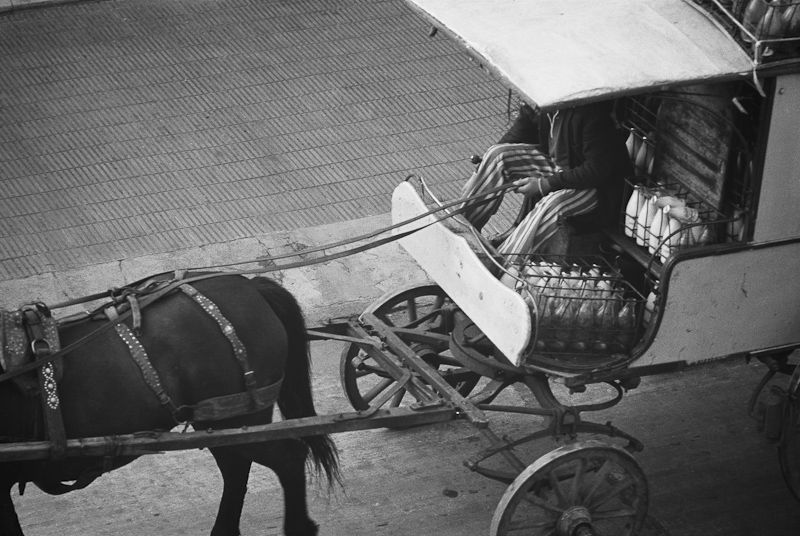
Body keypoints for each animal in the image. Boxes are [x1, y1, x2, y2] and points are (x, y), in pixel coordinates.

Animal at [0, 274, 340, 536]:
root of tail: (251, 285)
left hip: (235, 418)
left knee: (288, 457)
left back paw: (299, 526)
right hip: (222, 421)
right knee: (237, 468)